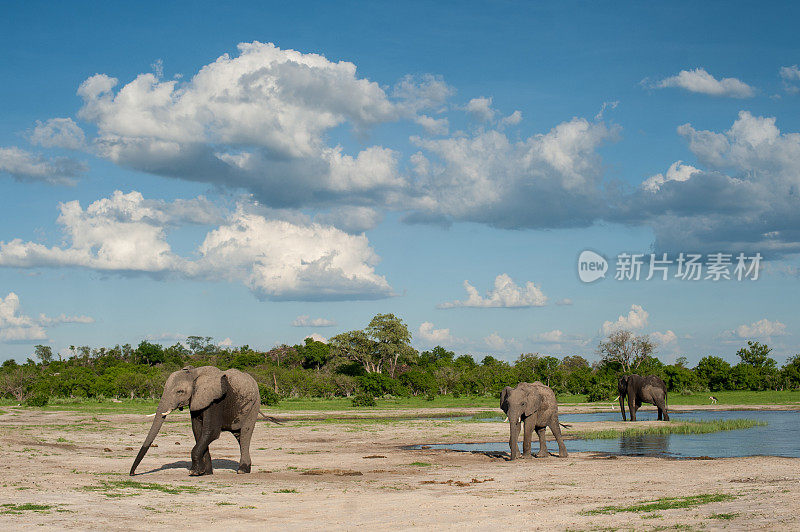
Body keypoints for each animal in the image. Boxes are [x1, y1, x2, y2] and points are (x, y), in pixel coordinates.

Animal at [130, 366, 278, 478]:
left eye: (180, 391)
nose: (132, 474)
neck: (195, 374)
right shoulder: (196, 400)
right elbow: (198, 431)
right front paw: (205, 473)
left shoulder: (215, 401)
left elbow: (211, 432)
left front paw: (194, 472)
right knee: (239, 436)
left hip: (254, 405)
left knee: (246, 433)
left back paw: (242, 471)